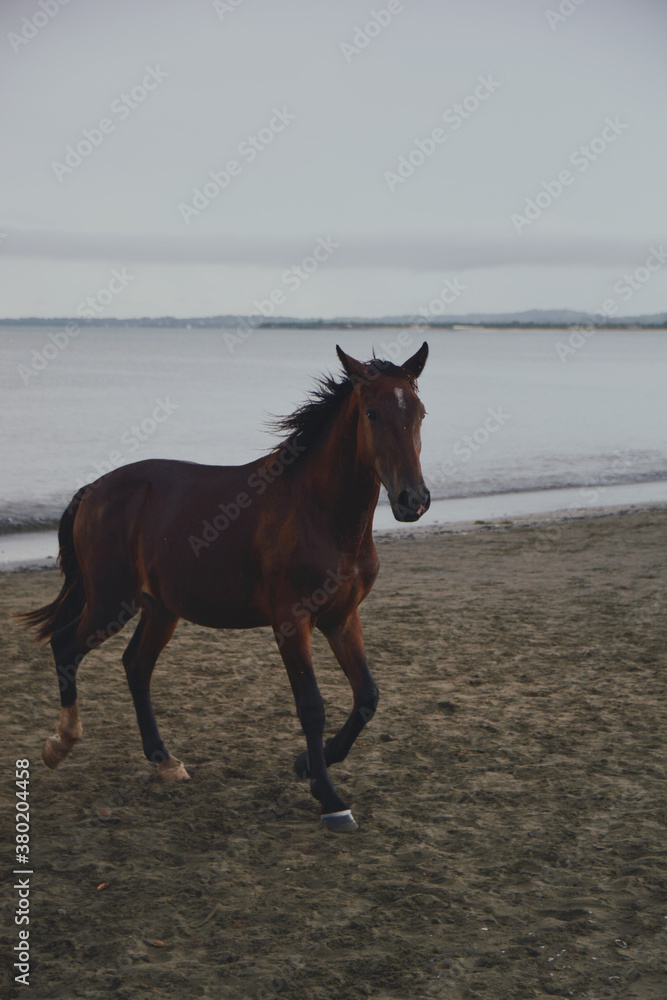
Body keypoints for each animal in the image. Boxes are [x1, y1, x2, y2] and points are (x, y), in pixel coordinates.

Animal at [20, 343, 430, 832]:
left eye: (420, 412)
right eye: (371, 413)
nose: (413, 501)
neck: (320, 514)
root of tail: (94, 489)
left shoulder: (342, 618)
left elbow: (367, 696)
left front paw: (308, 766)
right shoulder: (292, 623)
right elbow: (311, 706)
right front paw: (330, 798)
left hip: (160, 608)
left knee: (136, 665)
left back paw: (164, 760)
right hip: (110, 602)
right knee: (66, 646)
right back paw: (60, 743)